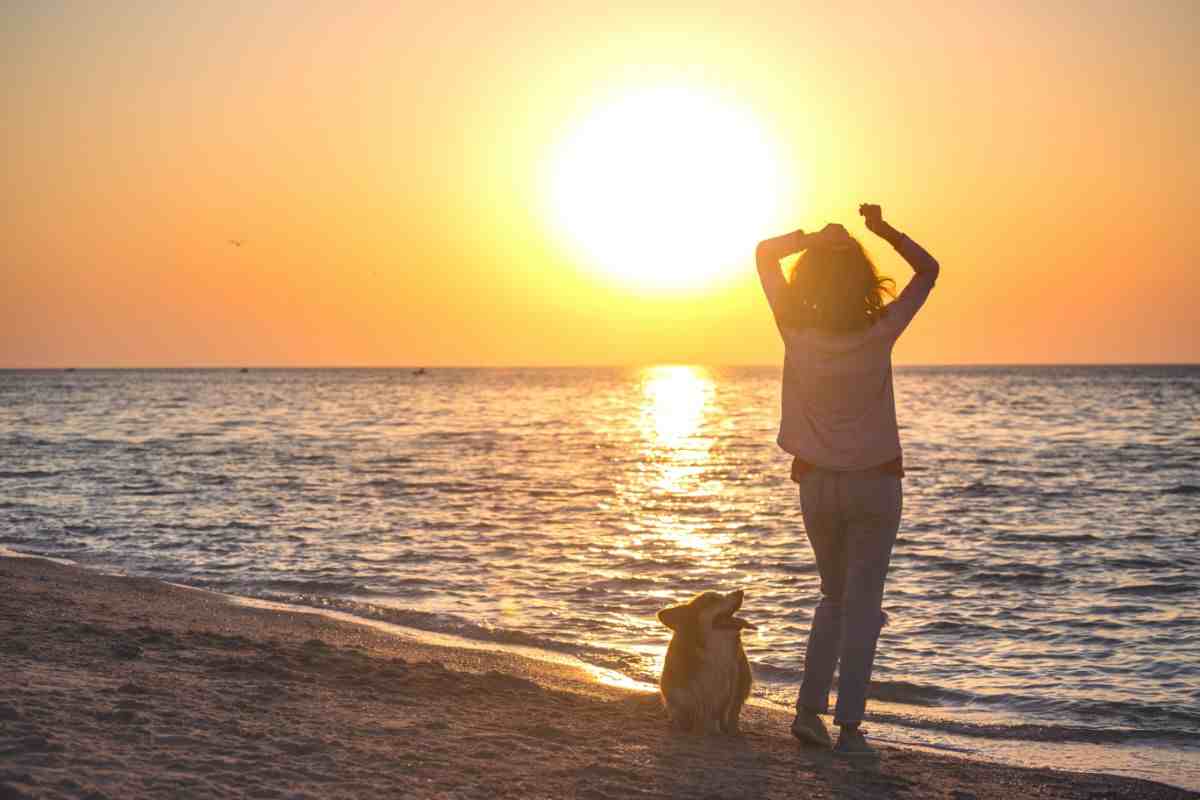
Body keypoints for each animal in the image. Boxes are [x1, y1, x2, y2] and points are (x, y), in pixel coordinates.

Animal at [662, 592, 753, 734]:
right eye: (712, 599)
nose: (741, 592)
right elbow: (685, 709)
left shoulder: (733, 688)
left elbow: (728, 711)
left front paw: (728, 728)